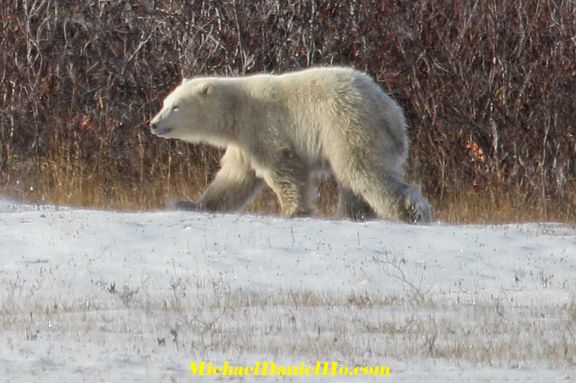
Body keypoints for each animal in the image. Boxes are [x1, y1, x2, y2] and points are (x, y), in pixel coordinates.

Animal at [151, 66, 430, 222]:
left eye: (176, 106)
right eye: (165, 102)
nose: (153, 124)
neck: (236, 109)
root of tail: (392, 112)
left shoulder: (263, 125)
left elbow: (282, 166)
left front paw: (292, 210)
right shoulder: (244, 142)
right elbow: (235, 178)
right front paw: (190, 203)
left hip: (347, 125)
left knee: (364, 171)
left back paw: (410, 210)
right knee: (353, 180)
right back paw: (356, 213)